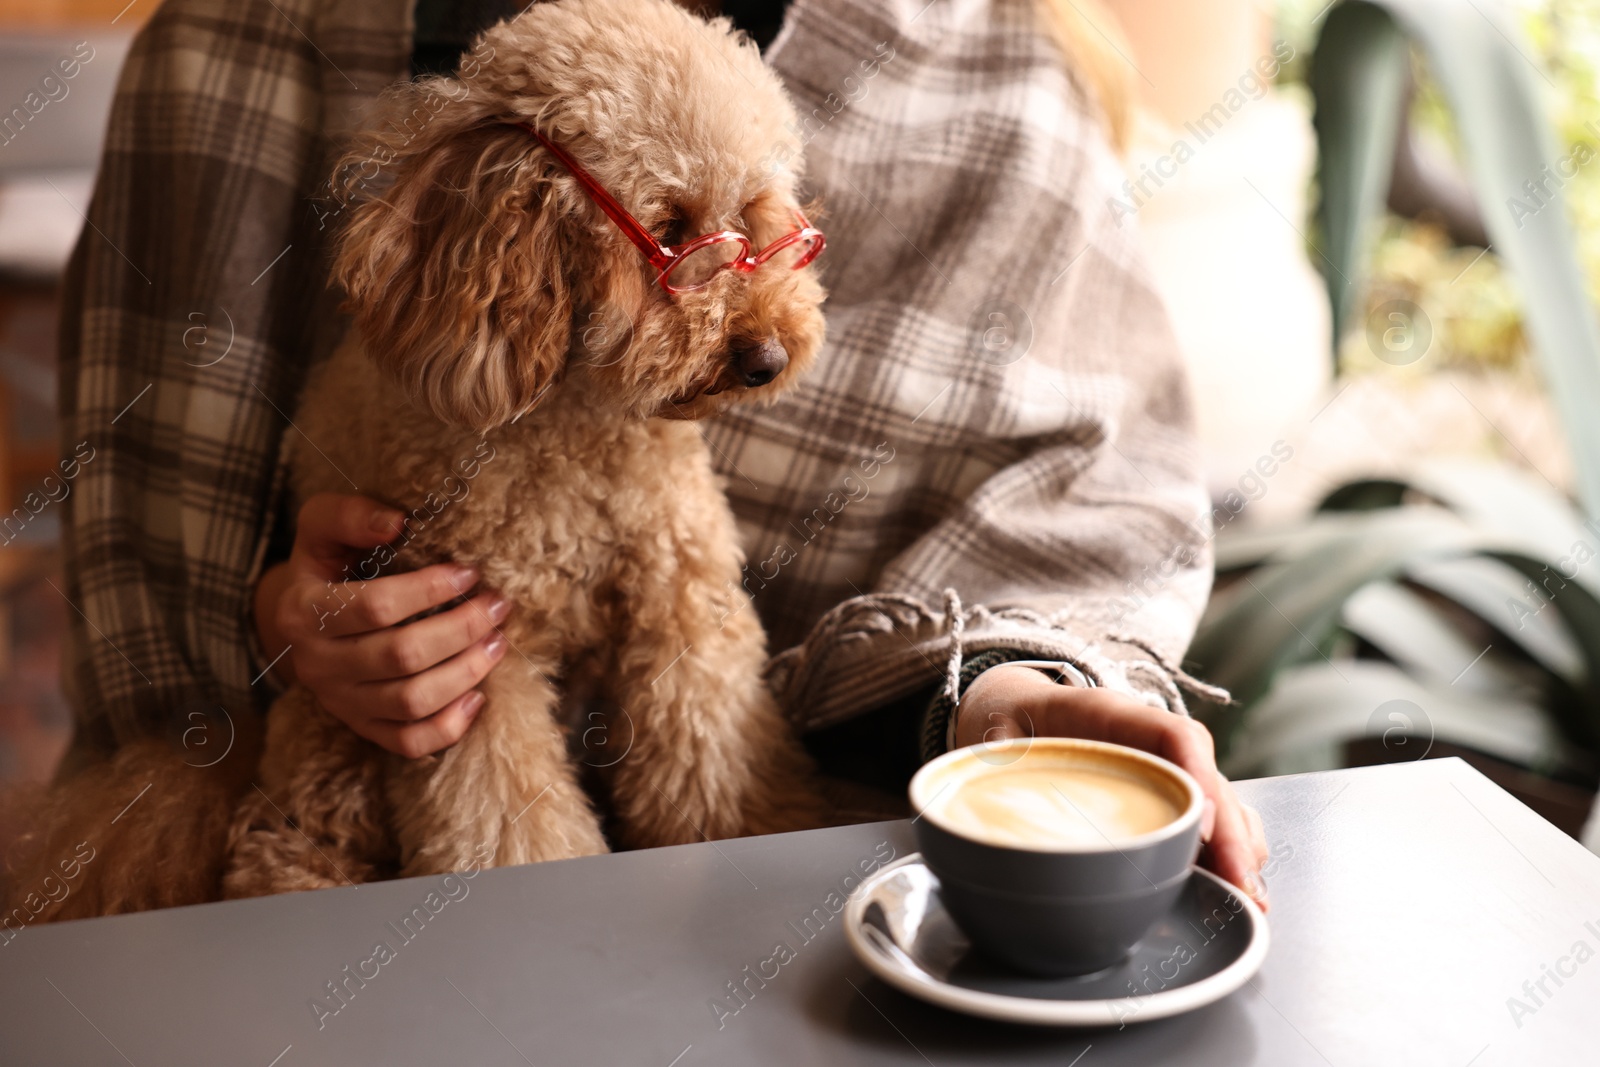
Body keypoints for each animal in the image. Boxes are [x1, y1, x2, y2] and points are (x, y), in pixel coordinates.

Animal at [9, 0, 838, 921]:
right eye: (672, 234)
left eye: (762, 224)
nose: (767, 357)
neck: (579, 427)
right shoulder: (470, 660)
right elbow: (504, 815)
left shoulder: (682, 606)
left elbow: (712, 754)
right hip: (327, 729)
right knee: (292, 834)